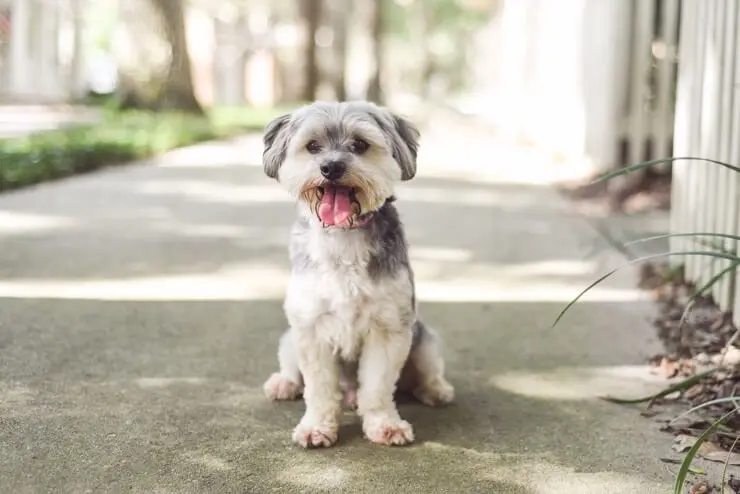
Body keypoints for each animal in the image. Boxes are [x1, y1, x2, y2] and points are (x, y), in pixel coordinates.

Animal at [264, 100, 454, 448]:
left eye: (360, 145)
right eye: (313, 146)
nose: (331, 168)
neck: (344, 235)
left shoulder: (389, 327)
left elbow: (377, 386)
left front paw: (384, 425)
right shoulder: (311, 328)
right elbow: (319, 388)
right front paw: (316, 427)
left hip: (424, 341)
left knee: (425, 373)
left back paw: (434, 389)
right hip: (290, 338)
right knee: (293, 370)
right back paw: (284, 384)